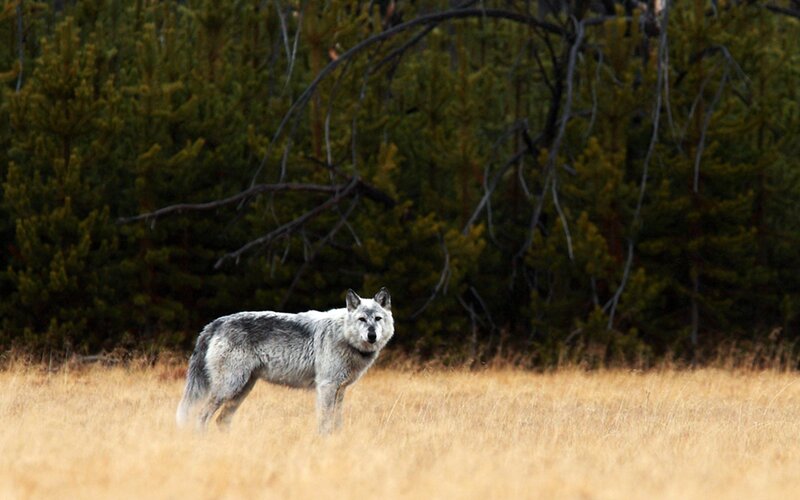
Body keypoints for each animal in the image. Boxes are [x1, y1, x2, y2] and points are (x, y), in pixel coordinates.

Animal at [175, 288, 393, 434]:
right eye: (362, 319)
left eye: (378, 318)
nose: (372, 335)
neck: (344, 336)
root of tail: (216, 323)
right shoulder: (327, 386)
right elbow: (325, 422)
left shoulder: (340, 390)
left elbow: (336, 423)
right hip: (229, 387)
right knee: (201, 417)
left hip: (242, 389)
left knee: (221, 420)